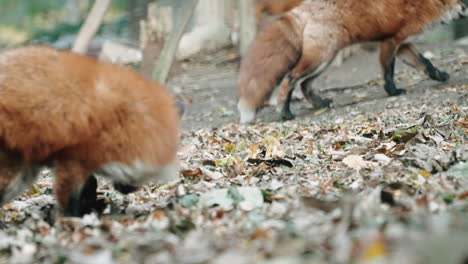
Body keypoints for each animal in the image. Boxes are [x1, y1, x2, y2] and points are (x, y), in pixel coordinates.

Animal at [0, 45, 180, 217]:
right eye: (145, 175)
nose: (130, 190)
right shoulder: (73, 160)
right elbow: (70, 198)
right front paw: (71, 218)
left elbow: (90, 184)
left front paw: (90, 206)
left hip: (24, 172)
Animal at [239, 0, 466, 123]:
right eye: (462, 2)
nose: (466, 10)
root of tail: (300, 10)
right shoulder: (390, 42)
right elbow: (388, 72)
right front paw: (392, 91)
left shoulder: (403, 44)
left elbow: (425, 63)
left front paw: (440, 75)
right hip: (319, 58)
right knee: (290, 79)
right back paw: (285, 112)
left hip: (325, 60)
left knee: (304, 85)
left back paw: (320, 103)